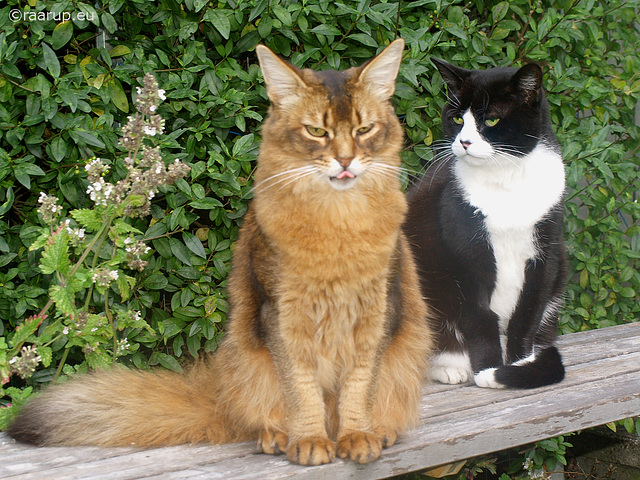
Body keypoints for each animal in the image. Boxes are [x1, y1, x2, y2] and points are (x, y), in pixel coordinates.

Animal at [6, 39, 430, 466]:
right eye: (316, 131)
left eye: (364, 129)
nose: (345, 161)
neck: (338, 225)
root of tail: (219, 397)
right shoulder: (280, 314)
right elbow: (302, 389)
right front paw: (310, 439)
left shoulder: (379, 309)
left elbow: (359, 386)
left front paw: (357, 435)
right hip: (246, 357)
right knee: (261, 414)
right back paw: (277, 435)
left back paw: (381, 431)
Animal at [408, 58, 568, 388]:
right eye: (457, 118)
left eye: (492, 121)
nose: (464, 142)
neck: (504, 179)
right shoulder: (466, 255)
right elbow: (478, 317)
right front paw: (488, 368)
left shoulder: (545, 252)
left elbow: (527, 314)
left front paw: (518, 366)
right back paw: (451, 368)